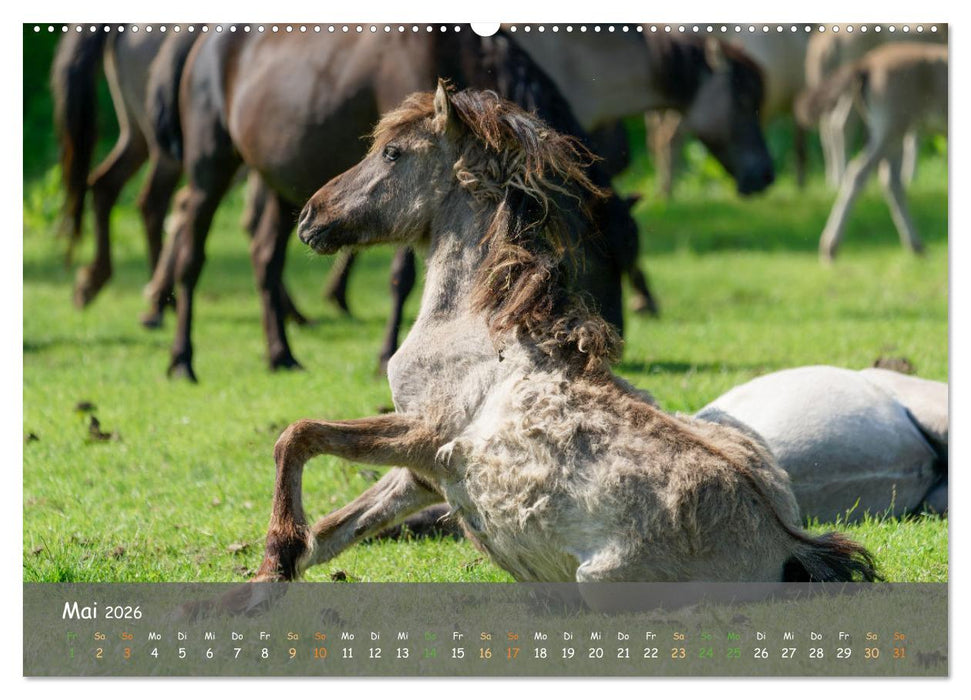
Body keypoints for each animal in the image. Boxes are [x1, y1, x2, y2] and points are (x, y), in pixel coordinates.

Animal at [149, 29, 651, 380]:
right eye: (599, 253)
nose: (614, 346)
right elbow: (402, 277)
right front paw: (385, 352)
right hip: (211, 168)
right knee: (191, 251)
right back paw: (182, 360)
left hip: (276, 183)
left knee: (264, 258)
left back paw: (281, 354)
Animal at [251, 84, 877, 596]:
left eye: (392, 153)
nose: (309, 217)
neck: (474, 327)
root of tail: (788, 545)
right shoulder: (420, 476)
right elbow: (334, 530)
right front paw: (267, 576)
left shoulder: (423, 433)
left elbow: (297, 436)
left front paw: (278, 551)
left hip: (602, 586)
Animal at [796, 42, 948, 260]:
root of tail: (866, 64)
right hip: (890, 130)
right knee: (859, 172)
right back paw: (830, 247)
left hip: (893, 134)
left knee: (891, 180)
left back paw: (916, 246)